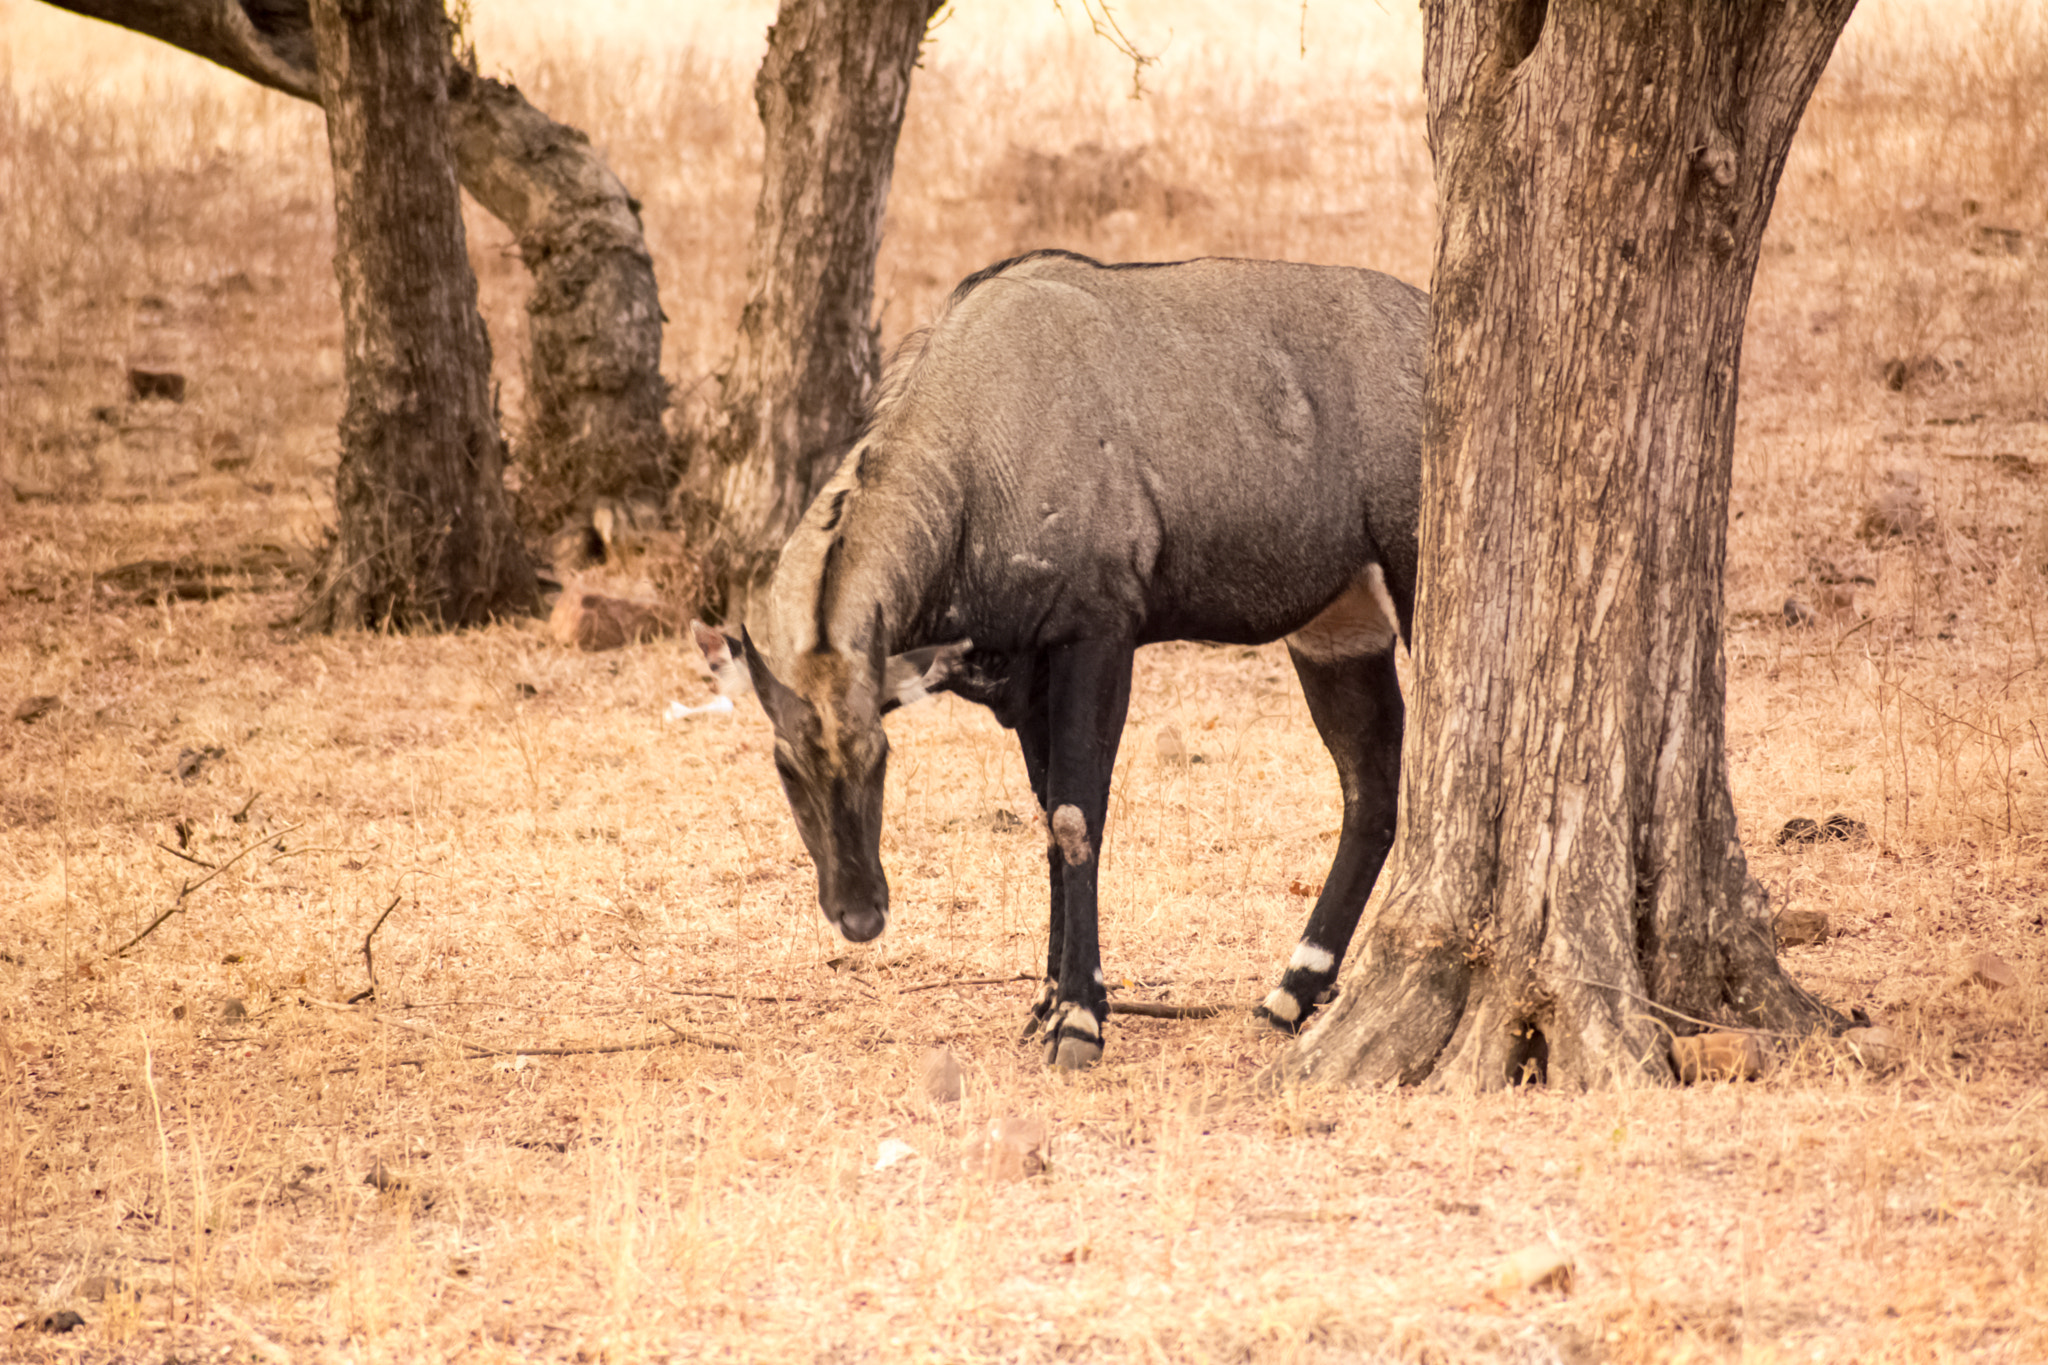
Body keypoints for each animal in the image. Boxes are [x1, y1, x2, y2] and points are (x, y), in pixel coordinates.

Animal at [704, 253, 1425, 1064]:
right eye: (785, 767)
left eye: (881, 756)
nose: (859, 914)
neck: (979, 443)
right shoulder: (1028, 676)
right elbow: (1048, 819)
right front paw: (1048, 1000)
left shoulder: (1097, 638)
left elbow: (1078, 817)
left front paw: (1079, 1018)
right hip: (1338, 628)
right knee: (1370, 791)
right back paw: (1290, 994)